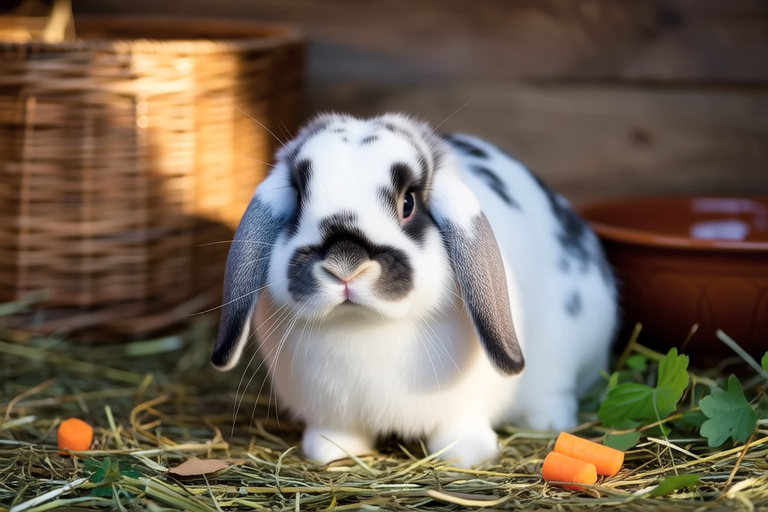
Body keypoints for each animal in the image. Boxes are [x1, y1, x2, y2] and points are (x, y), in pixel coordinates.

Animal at [211, 113, 618, 468]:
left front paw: (465, 455)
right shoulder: (331, 409)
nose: (345, 265)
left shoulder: (464, 404)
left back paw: (548, 422)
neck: (364, 327)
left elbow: (460, 428)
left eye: (408, 202)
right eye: (297, 199)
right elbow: (337, 432)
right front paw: (330, 451)